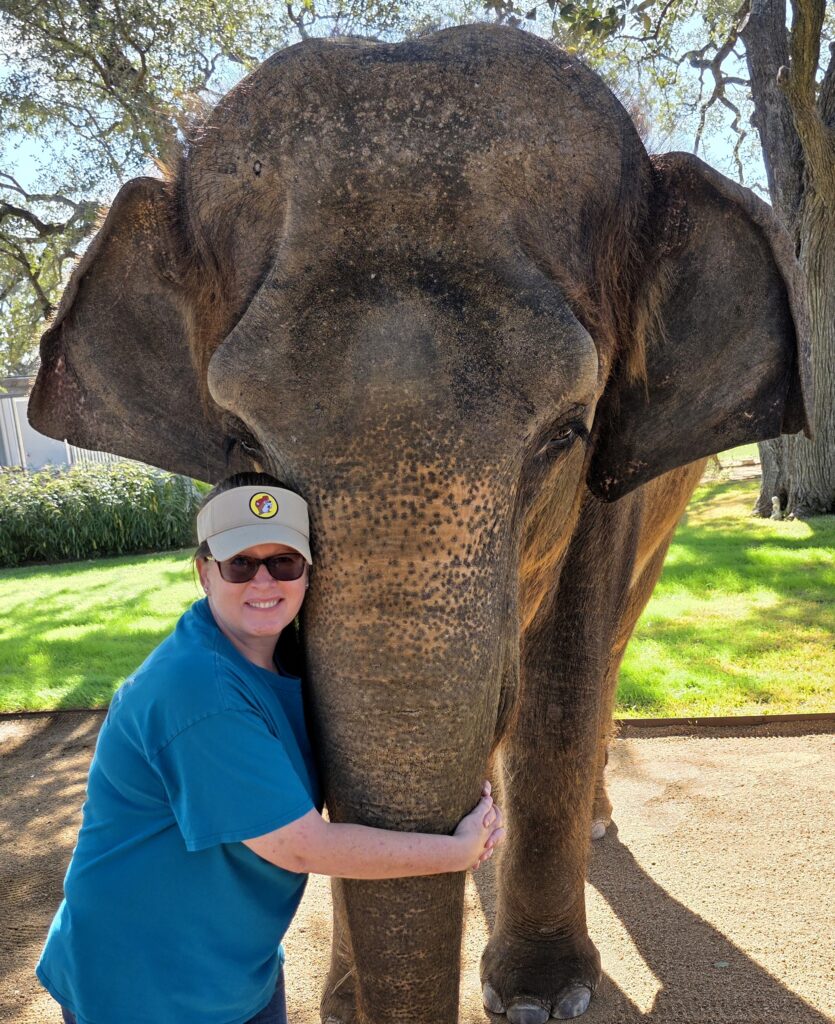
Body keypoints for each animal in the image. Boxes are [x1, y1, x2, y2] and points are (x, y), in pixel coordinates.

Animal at [30, 24, 811, 1024]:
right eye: (242, 440)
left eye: (567, 431)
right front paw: (345, 1003)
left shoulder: (607, 490)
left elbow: (559, 692)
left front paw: (541, 997)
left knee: (606, 658)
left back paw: (595, 820)